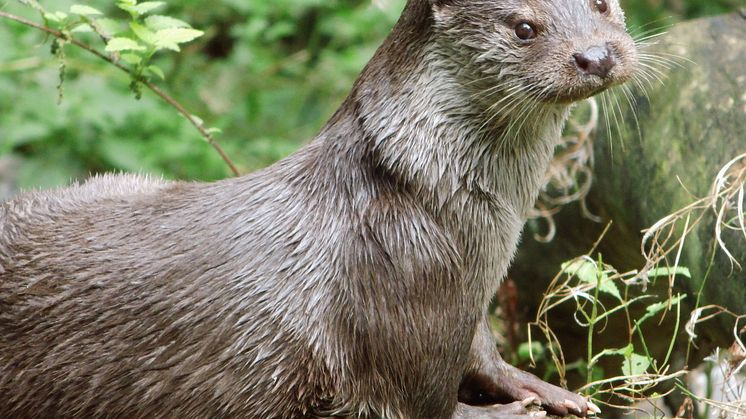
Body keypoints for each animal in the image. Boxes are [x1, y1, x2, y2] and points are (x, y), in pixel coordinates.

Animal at [2, 0, 636, 416]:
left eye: (603, 1)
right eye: (525, 27)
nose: (596, 55)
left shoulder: (463, 313)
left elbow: (485, 357)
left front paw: (547, 391)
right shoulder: (399, 314)